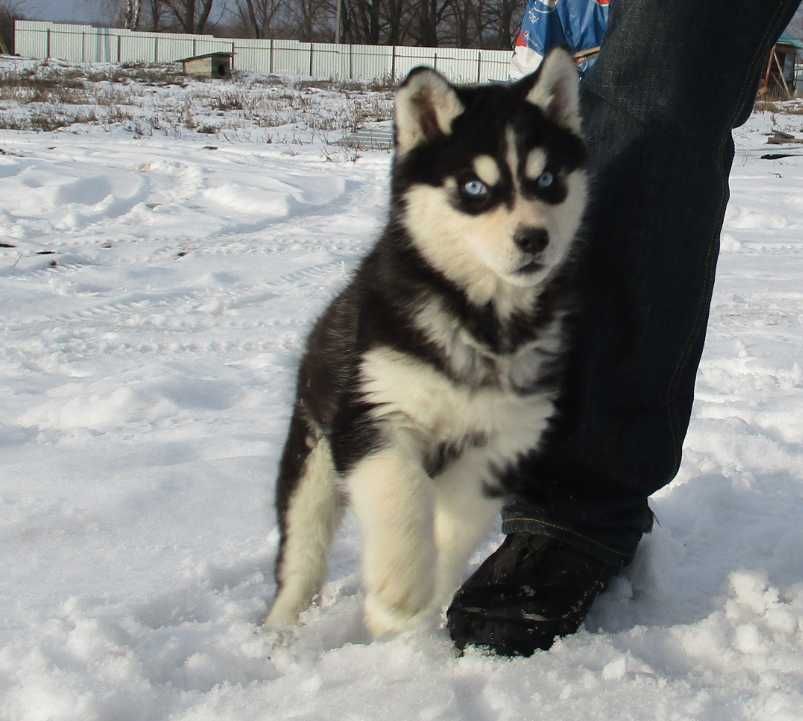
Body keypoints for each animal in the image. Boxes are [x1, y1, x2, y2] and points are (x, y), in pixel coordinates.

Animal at [266, 49, 588, 636]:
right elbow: (403, 489)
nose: (535, 239)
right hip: (312, 460)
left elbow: (454, 524)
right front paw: (398, 585)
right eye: (475, 188)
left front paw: (417, 600)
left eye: (549, 179)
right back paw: (278, 630)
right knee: (302, 555)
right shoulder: (373, 414)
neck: (484, 318)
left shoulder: (503, 441)